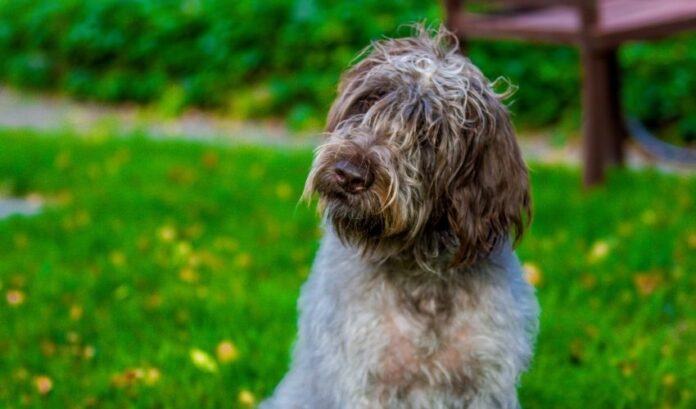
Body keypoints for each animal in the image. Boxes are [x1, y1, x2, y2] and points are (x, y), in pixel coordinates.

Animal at [260, 25, 540, 408]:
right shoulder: (364, 382)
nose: (348, 174)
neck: (423, 281)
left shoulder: (487, 385)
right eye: (367, 101)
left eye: (429, 134)